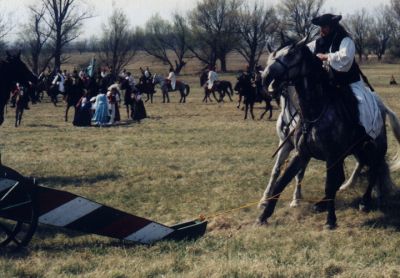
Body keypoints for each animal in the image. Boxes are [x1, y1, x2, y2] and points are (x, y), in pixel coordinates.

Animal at [256, 39, 400, 230]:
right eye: (272, 56)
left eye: (290, 54)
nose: (265, 77)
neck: (315, 111)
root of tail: (381, 105)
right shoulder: (301, 153)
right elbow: (281, 180)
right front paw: (264, 214)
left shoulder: (332, 156)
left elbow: (329, 185)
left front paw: (330, 220)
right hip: (356, 150)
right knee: (359, 169)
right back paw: (326, 202)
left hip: (373, 147)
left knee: (374, 169)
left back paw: (365, 201)